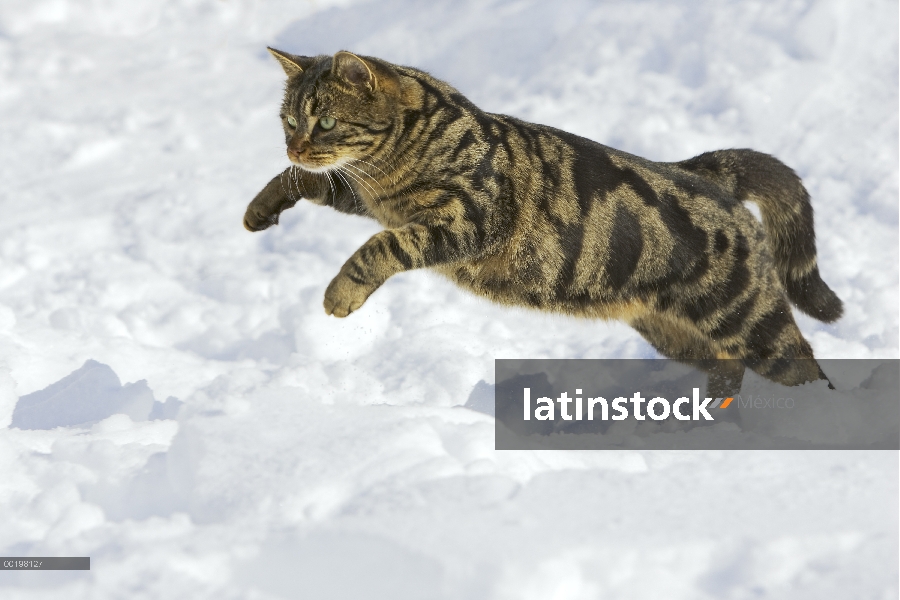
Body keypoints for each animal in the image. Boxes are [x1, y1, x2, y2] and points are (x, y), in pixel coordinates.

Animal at [244, 48, 844, 394]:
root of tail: (703, 171)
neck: (389, 169)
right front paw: (259, 208)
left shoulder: (467, 220)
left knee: (805, 369)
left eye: (324, 121)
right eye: (289, 120)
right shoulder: (363, 195)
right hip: (676, 333)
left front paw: (341, 294)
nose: (295, 145)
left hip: (749, 318)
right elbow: (303, 183)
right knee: (730, 371)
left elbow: (381, 248)